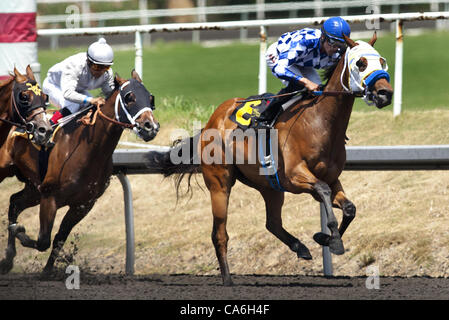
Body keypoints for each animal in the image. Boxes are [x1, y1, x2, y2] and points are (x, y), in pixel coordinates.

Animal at [0, 70, 159, 276]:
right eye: (129, 97)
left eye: (150, 98)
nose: (151, 127)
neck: (88, 148)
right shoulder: (50, 197)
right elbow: (43, 240)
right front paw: (19, 231)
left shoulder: (83, 204)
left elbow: (58, 238)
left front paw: (47, 271)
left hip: (34, 188)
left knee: (14, 202)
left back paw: (8, 259)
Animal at [152, 33, 390, 286]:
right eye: (360, 63)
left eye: (381, 61)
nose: (385, 93)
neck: (319, 122)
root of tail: (210, 122)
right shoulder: (295, 176)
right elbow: (323, 190)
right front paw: (333, 240)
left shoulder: (331, 178)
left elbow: (349, 208)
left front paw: (324, 238)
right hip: (220, 184)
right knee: (219, 234)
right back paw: (227, 279)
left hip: (269, 186)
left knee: (272, 222)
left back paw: (300, 247)